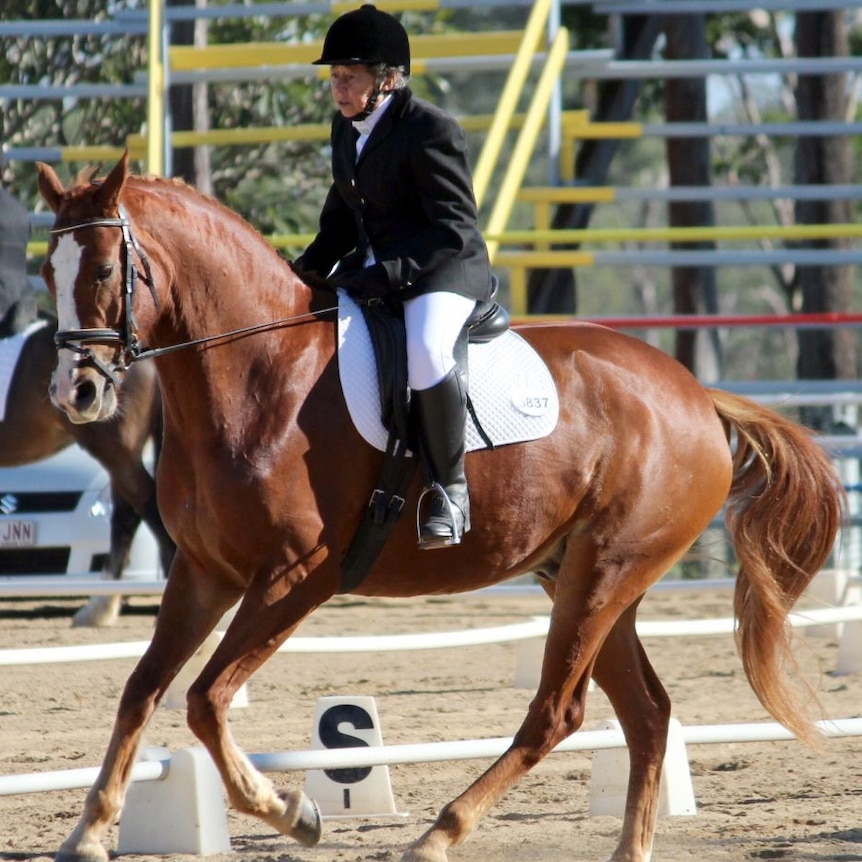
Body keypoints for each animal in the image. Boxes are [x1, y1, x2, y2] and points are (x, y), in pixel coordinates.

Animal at [38, 155, 844, 862]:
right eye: (49, 272)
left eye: (104, 270)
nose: (75, 393)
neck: (256, 375)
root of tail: (696, 396)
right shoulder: (204, 573)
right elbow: (143, 690)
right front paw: (90, 832)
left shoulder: (298, 575)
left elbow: (206, 699)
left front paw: (293, 812)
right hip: (584, 577)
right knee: (646, 713)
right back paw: (624, 849)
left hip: (604, 574)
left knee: (556, 712)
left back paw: (438, 835)